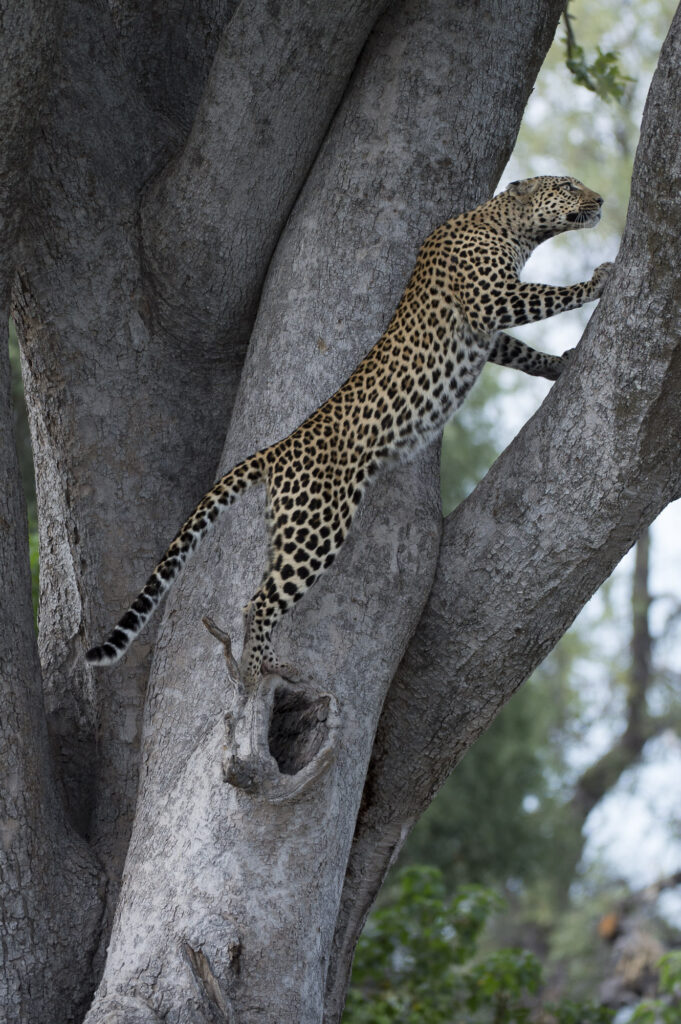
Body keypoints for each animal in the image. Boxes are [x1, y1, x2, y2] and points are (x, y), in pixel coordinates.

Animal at [86, 175, 611, 685]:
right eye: (568, 185)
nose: (602, 200)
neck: (511, 228)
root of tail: (280, 447)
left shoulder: (489, 326)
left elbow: (519, 350)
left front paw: (557, 365)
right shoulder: (491, 299)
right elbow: (547, 295)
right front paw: (597, 280)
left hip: (287, 529)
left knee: (256, 594)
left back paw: (268, 664)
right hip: (317, 526)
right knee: (260, 601)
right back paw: (255, 674)